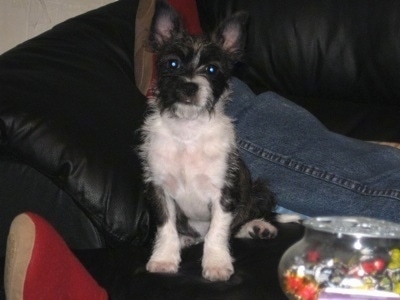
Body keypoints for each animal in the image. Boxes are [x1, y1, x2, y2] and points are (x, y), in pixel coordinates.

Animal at [141, 0, 282, 282]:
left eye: (212, 69)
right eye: (172, 64)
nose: (190, 86)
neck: (187, 130)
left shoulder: (224, 193)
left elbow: (218, 231)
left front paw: (216, 263)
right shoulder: (159, 189)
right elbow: (165, 227)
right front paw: (164, 258)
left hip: (260, 189)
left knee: (237, 224)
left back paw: (258, 226)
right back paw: (185, 240)